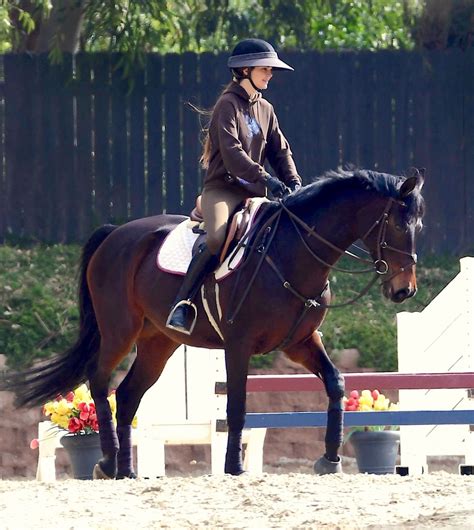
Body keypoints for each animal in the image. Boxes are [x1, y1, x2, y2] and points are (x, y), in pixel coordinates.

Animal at [1, 166, 426, 478]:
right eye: (398, 225)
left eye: (418, 227)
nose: (403, 290)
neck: (293, 253)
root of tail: (113, 234)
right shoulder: (239, 344)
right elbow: (237, 404)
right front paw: (234, 467)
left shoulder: (300, 343)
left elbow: (336, 383)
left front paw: (330, 459)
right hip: (119, 331)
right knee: (100, 381)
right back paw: (105, 463)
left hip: (159, 342)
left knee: (129, 394)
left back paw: (126, 470)